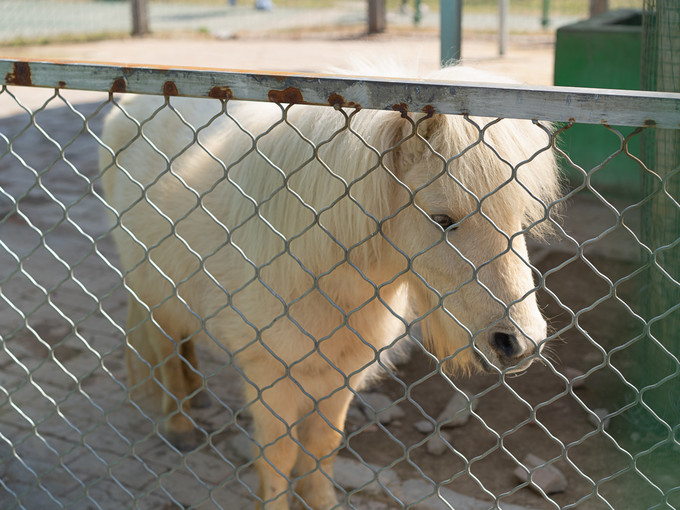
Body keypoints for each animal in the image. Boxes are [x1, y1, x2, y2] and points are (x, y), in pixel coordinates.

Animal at [99, 64, 556, 510]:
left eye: (519, 214)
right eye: (442, 219)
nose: (520, 343)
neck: (312, 270)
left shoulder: (341, 376)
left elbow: (322, 447)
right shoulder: (269, 376)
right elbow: (278, 457)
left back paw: (197, 396)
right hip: (151, 292)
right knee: (166, 351)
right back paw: (179, 423)